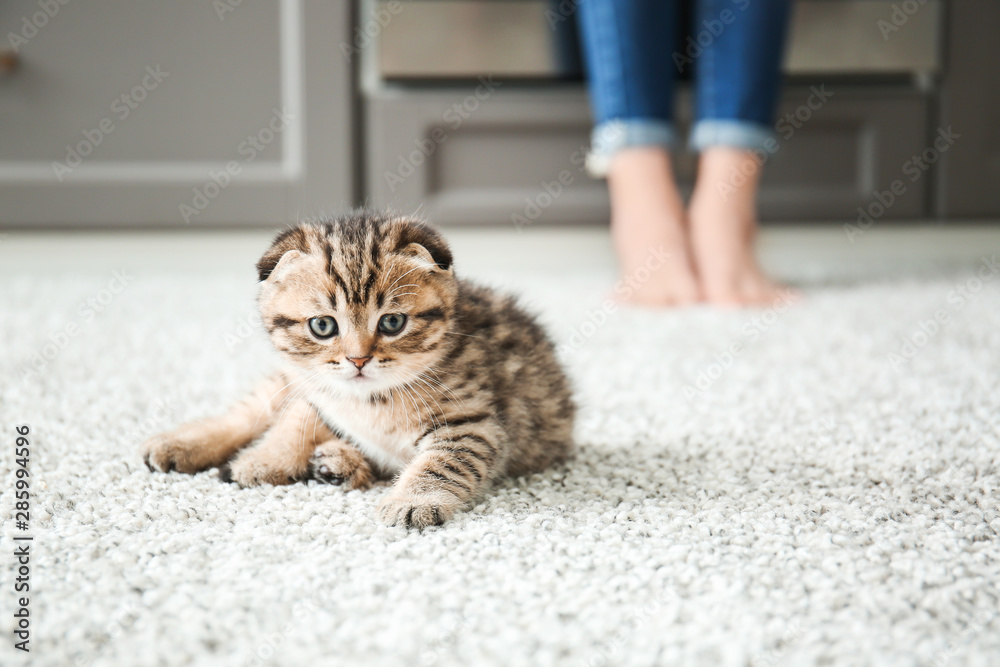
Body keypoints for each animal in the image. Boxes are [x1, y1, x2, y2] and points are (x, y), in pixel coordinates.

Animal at [144, 209, 576, 528]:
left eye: (392, 322)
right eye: (323, 326)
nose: (358, 359)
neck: (370, 401)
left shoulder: (473, 422)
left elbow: (442, 463)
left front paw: (412, 500)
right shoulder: (313, 386)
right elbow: (294, 420)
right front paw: (266, 459)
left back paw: (338, 463)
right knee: (248, 414)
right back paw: (179, 445)